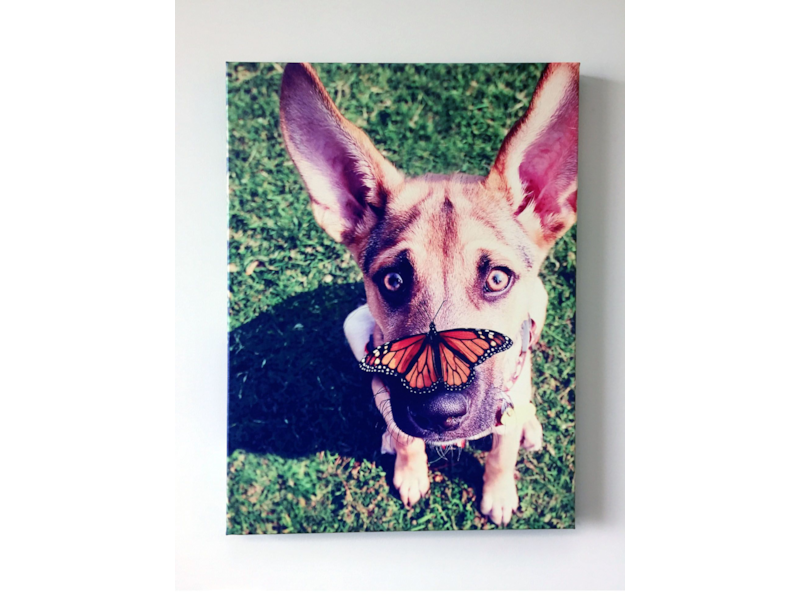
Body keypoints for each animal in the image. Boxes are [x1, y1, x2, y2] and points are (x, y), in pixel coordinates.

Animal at [279, 62, 578, 525]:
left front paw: (498, 493)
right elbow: (405, 436)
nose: (439, 413)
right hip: (354, 326)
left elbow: (500, 454)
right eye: (393, 281)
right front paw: (409, 470)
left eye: (498, 279)